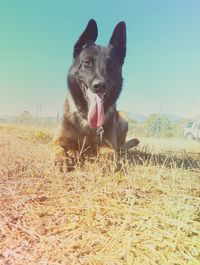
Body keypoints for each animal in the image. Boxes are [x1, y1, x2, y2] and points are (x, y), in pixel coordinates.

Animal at [51, 19, 139, 171]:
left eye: (111, 66)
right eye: (87, 62)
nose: (100, 86)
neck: (86, 119)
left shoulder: (108, 146)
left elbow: (109, 155)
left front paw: (106, 164)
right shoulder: (57, 140)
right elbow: (58, 148)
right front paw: (62, 158)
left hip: (123, 118)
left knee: (120, 148)